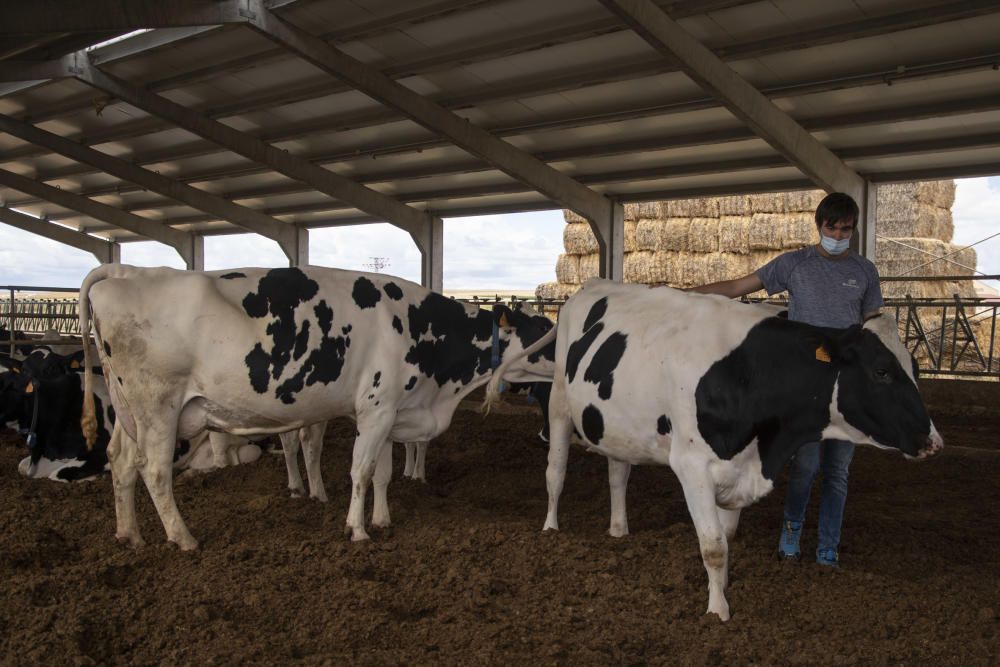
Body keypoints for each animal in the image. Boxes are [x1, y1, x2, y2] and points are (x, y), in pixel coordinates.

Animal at [488, 280, 940, 620]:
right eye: (881, 371)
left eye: (916, 368)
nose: (932, 441)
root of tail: (590, 285)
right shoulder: (692, 466)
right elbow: (713, 546)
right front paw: (717, 612)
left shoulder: (739, 467)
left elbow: (727, 538)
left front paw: (722, 592)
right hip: (559, 404)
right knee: (556, 472)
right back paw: (551, 529)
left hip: (617, 425)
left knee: (618, 474)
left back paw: (619, 530)